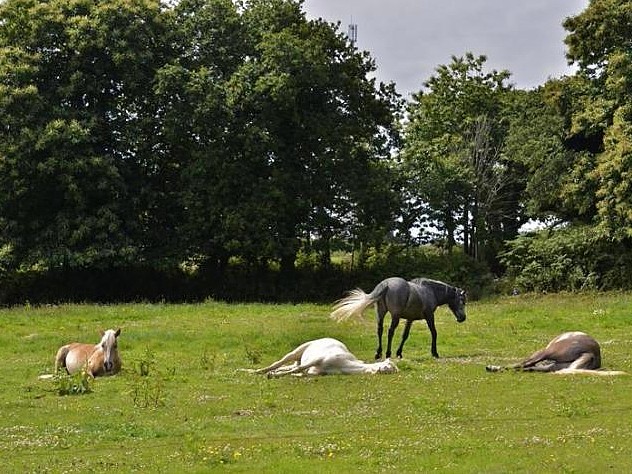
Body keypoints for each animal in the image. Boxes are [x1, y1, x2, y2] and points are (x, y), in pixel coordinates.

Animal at [330, 276, 464, 358]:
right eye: (462, 301)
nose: (463, 318)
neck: (430, 291)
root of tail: (386, 284)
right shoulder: (429, 316)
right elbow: (434, 333)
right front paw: (434, 353)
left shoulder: (410, 319)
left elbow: (405, 335)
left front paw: (399, 353)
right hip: (395, 316)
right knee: (390, 332)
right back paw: (388, 353)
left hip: (380, 313)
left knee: (380, 330)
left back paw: (378, 353)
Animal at [486, 332, 624, 376]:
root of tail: (592, 352)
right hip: (553, 366)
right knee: (528, 367)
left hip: (547, 352)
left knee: (524, 364)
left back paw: (491, 368)